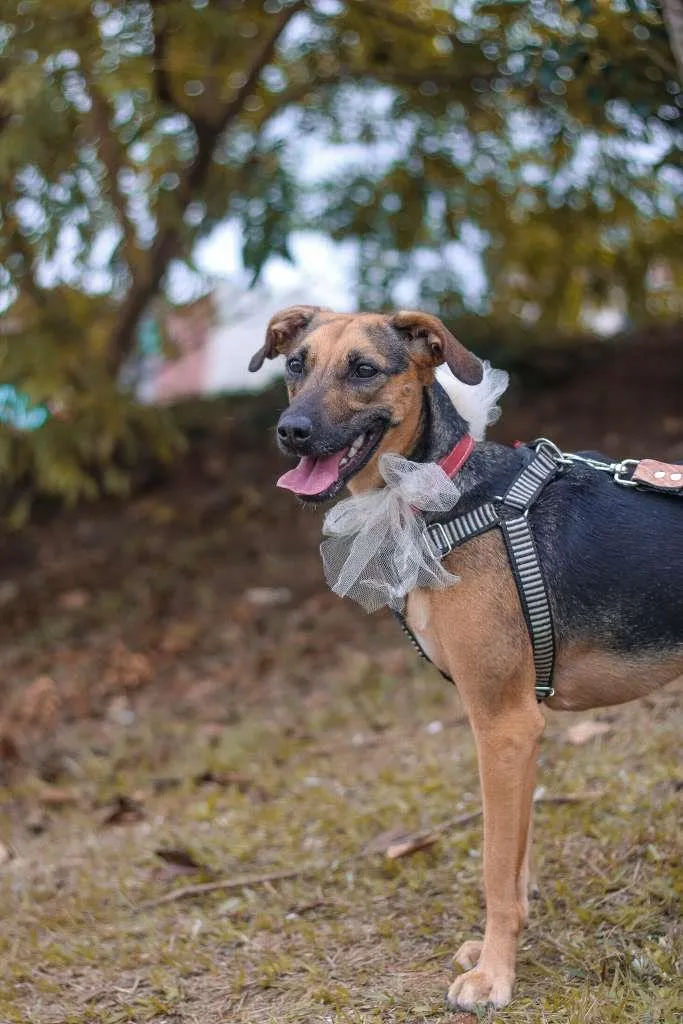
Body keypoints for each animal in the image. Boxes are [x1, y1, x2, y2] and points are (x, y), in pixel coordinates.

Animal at [249, 303, 683, 1007]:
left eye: (364, 370)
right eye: (294, 365)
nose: (292, 432)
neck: (436, 492)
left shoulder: (503, 725)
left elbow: (495, 869)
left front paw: (494, 978)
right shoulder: (520, 731)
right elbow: (517, 865)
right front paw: (497, 954)